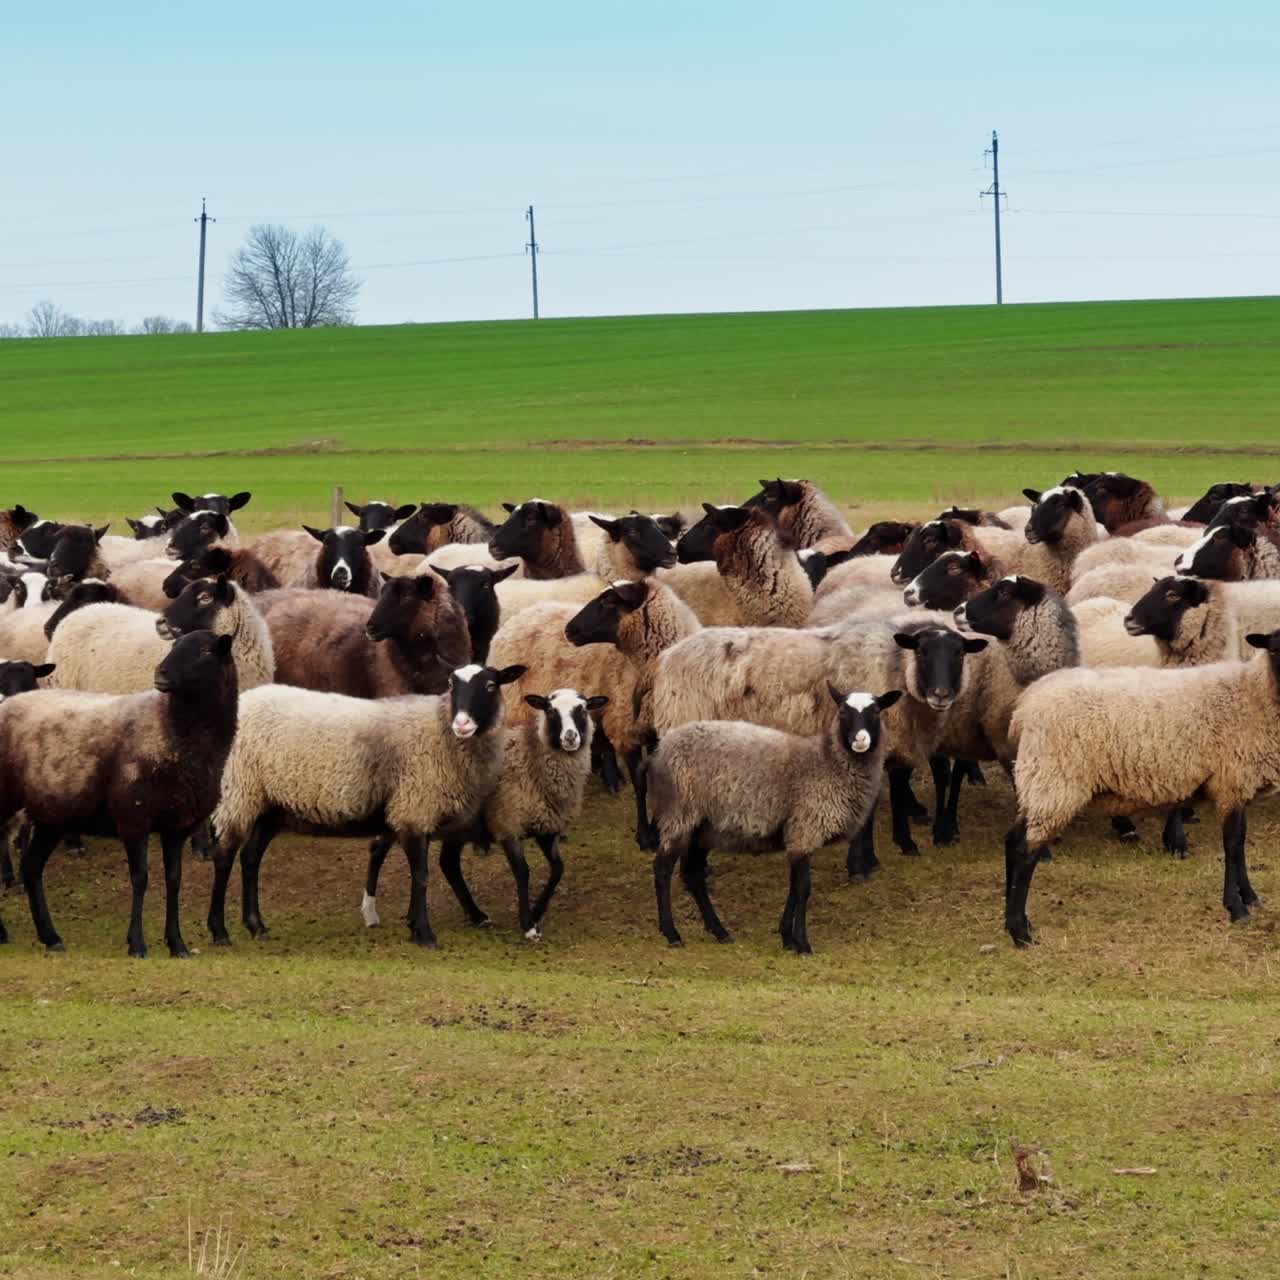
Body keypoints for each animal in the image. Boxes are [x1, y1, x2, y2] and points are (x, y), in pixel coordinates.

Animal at [0, 630, 238, 955]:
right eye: (175, 645)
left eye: (205, 651)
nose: (161, 673)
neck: (169, 727)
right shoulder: (133, 817)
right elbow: (140, 879)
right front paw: (136, 943)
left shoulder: (175, 826)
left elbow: (173, 880)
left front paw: (177, 944)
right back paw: (5, 932)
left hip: (51, 815)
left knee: (32, 867)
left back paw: (51, 937)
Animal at [206, 662, 526, 947]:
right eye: (451, 684)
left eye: (491, 685)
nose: (462, 723)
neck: (440, 731)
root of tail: (243, 700)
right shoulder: (414, 806)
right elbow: (421, 875)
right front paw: (424, 934)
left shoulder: (409, 811)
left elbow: (415, 872)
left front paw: (414, 925)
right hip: (238, 790)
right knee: (224, 856)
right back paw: (219, 932)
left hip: (271, 805)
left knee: (250, 857)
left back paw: (256, 926)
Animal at [364, 687, 609, 940]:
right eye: (550, 710)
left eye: (583, 709)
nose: (570, 737)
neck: (531, 756)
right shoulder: (507, 822)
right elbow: (522, 871)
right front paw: (528, 924)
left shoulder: (546, 827)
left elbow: (558, 869)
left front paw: (537, 911)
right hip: (410, 807)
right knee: (378, 850)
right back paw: (370, 913)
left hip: (456, 825)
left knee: (448, 863)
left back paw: (476, 915)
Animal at [640, 688, 899, 953]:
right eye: (844, 711)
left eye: (876, 711)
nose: (860, 740)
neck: (826, 762)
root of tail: (657, 753)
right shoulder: (804, 830)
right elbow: (803, 889)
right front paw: (802, 943)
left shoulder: (797, 834)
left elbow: (794, 888)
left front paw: (787, 938)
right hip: (678, 816)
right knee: (662, 870)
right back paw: (672, 933)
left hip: (701, 829)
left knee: (693, 876)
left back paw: (719, 931)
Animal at [1003, 629, 1280, 946]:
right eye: (1276, 649)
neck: (1253, 693)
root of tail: (1023, 708)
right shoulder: (1230, 782)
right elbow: (1233, 845)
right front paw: (1236, 908)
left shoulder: (1239, 787)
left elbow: (1240, 842)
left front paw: (1250, 897)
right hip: (1054, 782)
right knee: (1025, 851)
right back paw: (1020, 932)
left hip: (1040, 783)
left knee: (1012, 841)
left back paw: (1011, 922)